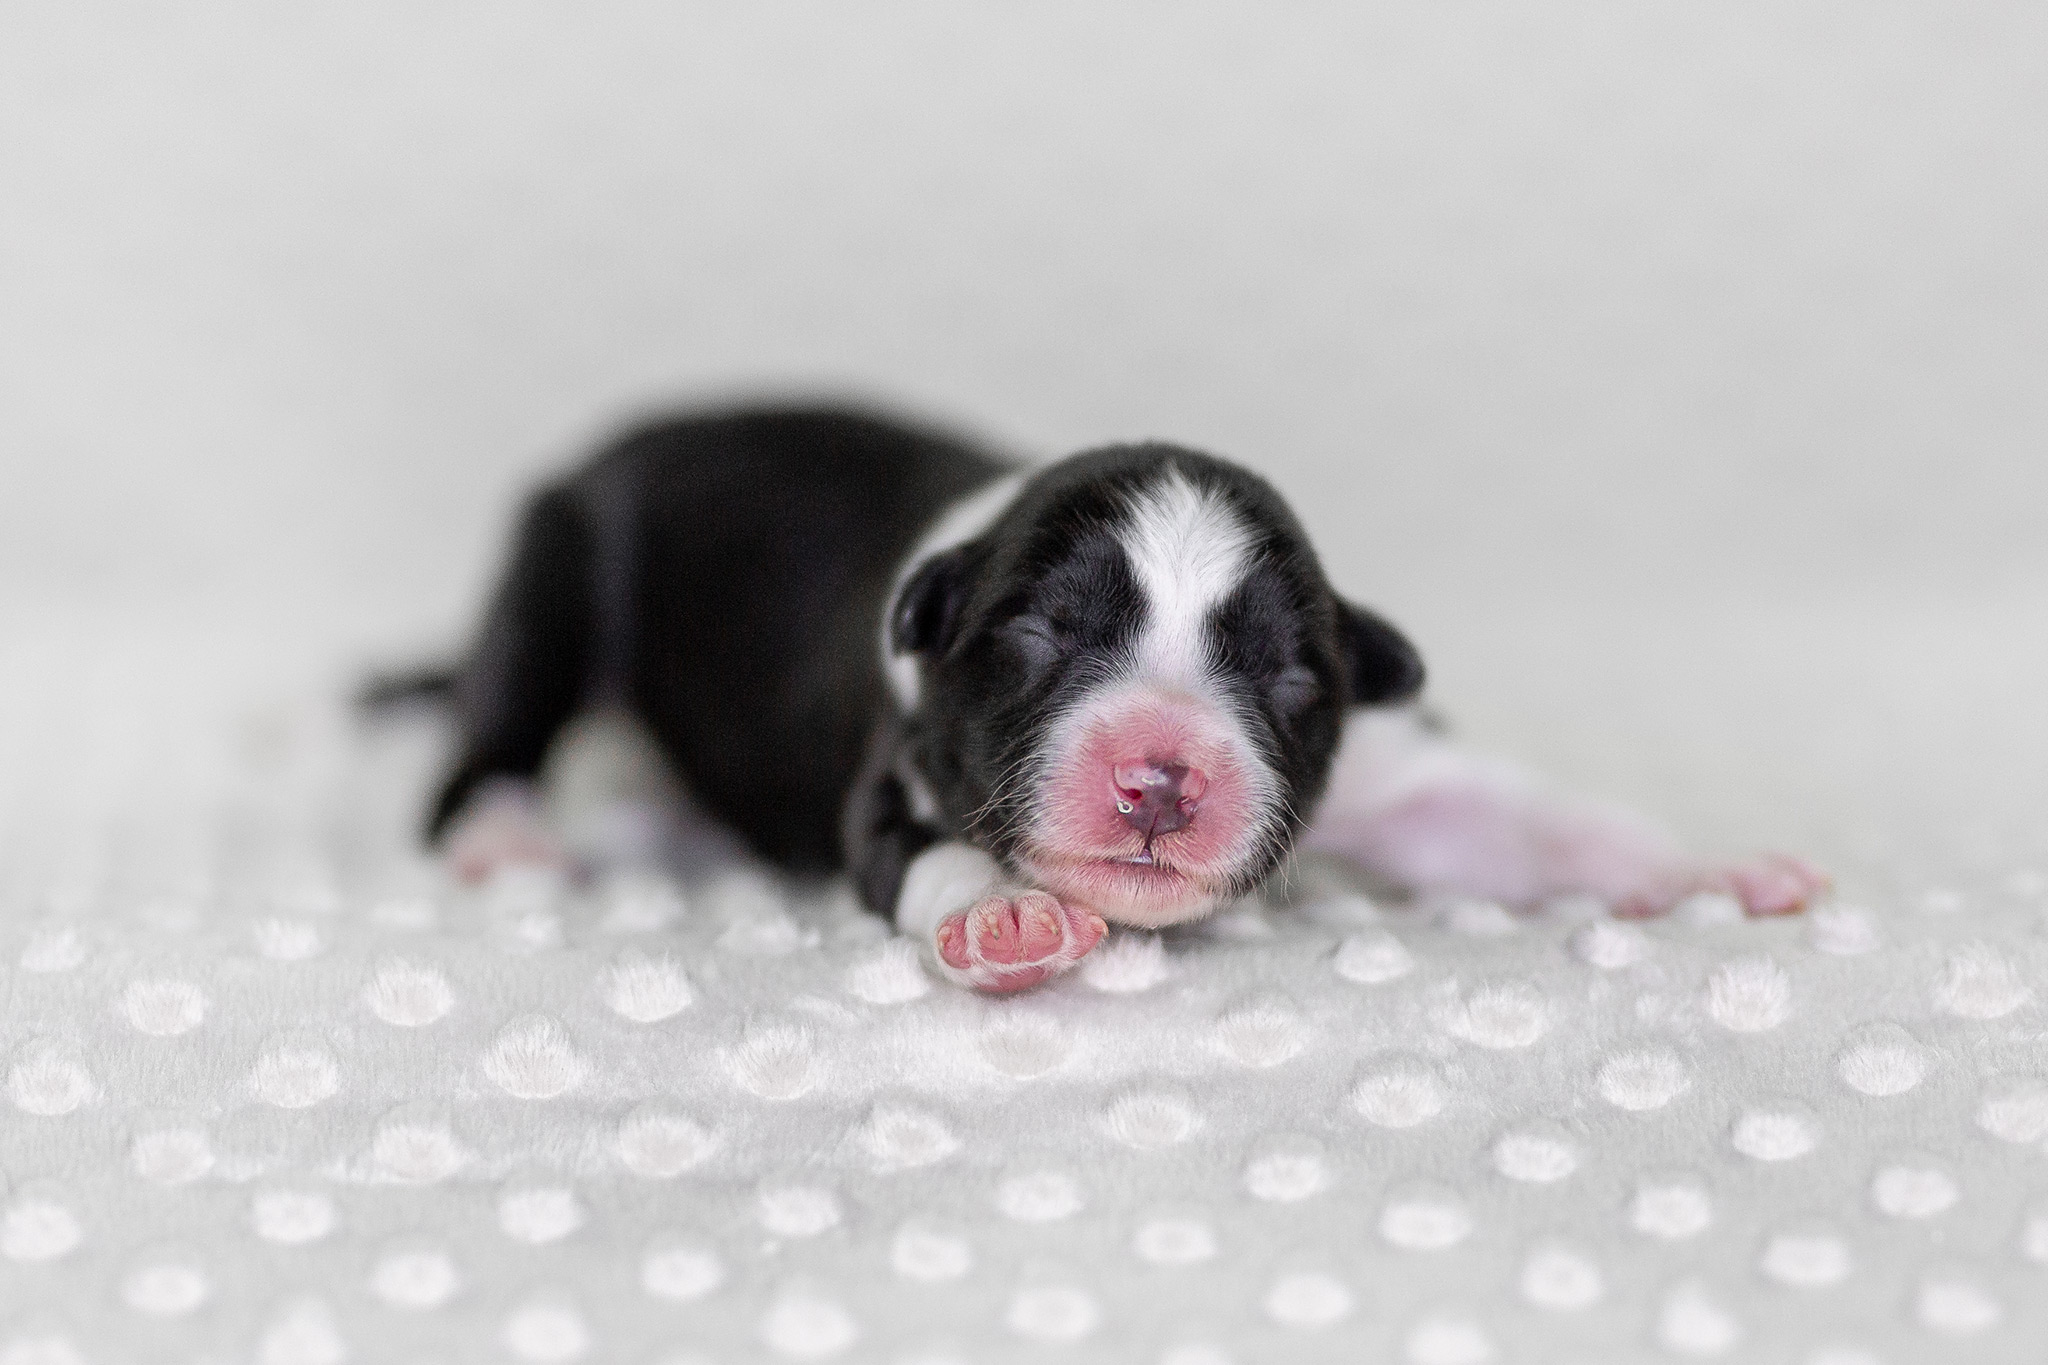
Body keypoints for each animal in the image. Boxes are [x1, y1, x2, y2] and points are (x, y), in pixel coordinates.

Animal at [419, 405, 1826, 994]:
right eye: (1036, 637)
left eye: (1290, 676)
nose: (1161, 778)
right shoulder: (892, 773)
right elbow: (924, 854)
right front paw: (998, 915)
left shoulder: (1389, 767)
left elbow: (1525, 820)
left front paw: (1704, 869)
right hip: (554, 569)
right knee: (477, 752)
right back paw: (501, 835)